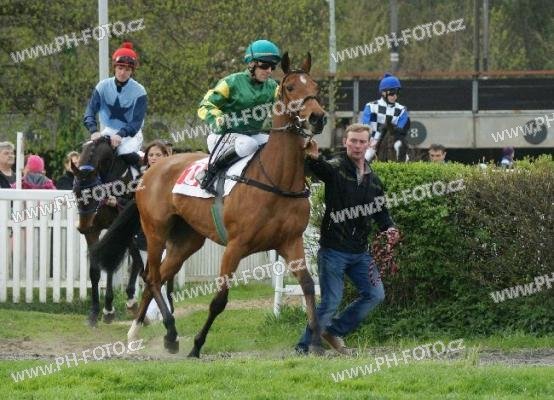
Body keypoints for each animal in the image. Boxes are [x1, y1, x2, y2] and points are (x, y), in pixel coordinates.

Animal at [71, 136, 146, 326]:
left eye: (96, 192)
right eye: (75, 191)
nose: (83, 227)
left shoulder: (117, 228)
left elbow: (113, 264)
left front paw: (110, 308)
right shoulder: (93, 230)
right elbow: (95, 271)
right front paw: (95, 311)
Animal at [90, 52, 327, 357]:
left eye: (315, 86)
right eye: (289, 87)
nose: (318, 117)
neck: (277, 180)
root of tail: (150, 171)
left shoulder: (291, 241)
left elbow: (309, 286)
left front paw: (318, 342)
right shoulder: (236, 246)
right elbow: (219, 300)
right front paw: (197, 345)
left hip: (187, 240)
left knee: (158, 277)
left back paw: (139, 333)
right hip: (155, 232)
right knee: (151, 276)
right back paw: (169, 334)